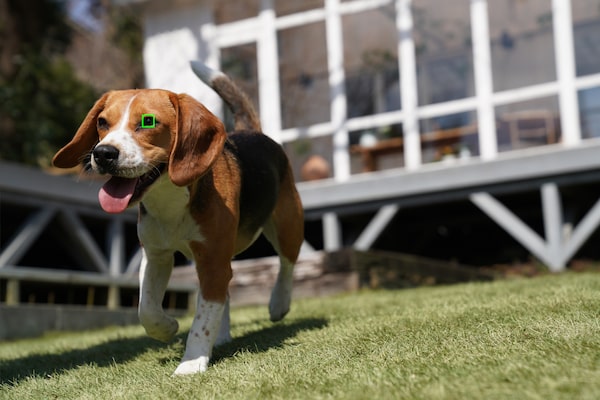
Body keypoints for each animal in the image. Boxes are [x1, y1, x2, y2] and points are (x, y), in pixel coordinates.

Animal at [52, 61, 304, 376]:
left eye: (148, 122)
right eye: (102, 123)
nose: (103, 153)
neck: (168, 199)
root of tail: (251, 132)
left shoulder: (212, 259)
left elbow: (202, 320)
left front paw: (191, 363)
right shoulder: (157, 256)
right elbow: (146, 308)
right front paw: (168, 327)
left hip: (287, 225)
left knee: (286, 264)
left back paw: (278, 304)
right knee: (224, 293)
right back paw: (222, 335)